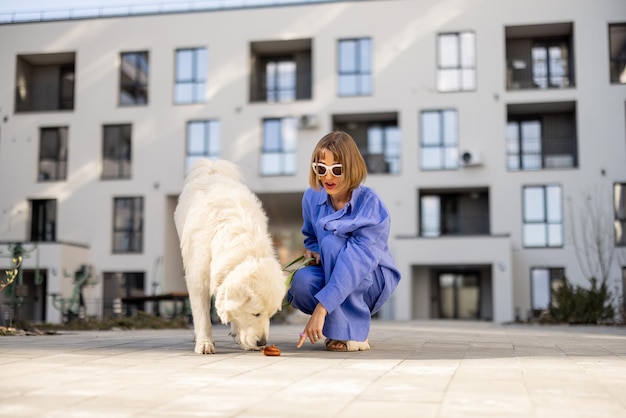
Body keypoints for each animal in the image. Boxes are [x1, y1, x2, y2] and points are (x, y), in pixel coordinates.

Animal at [173, 158, 286, 354]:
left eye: (270, 315)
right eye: (256, 313)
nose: (262, 343)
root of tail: (212, 170)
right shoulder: (197, 279)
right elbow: (202, 314)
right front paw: (204, 342)